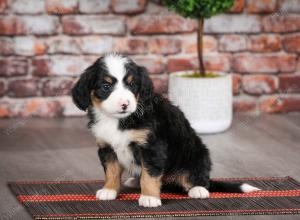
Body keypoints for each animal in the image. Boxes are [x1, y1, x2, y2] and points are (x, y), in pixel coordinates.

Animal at [71, 53, 260, 208]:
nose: (124, 104)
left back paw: (198, 189)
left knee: (199, 178)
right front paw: (109, 190)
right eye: (106, 86)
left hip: (196, 154)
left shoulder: (152, 146)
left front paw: (149, 198)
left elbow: (150, 174)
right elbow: (111, 171)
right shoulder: (106, 147)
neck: (118, 120)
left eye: (132, 85)